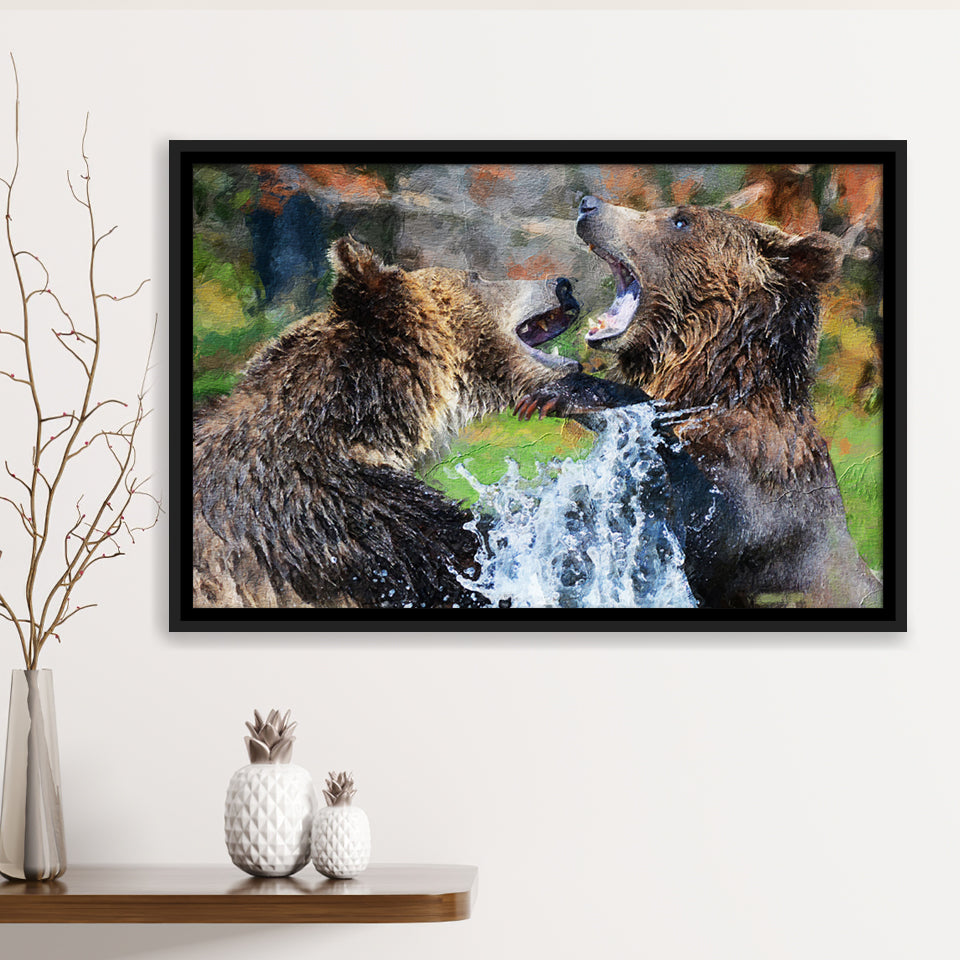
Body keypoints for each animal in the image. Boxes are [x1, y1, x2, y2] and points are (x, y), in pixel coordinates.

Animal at [516, 197, 881, 609]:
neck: (712, 383)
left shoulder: (760, 487)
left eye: (681, 221)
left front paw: (565, 391)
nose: (588, 204)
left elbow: (705, 517)